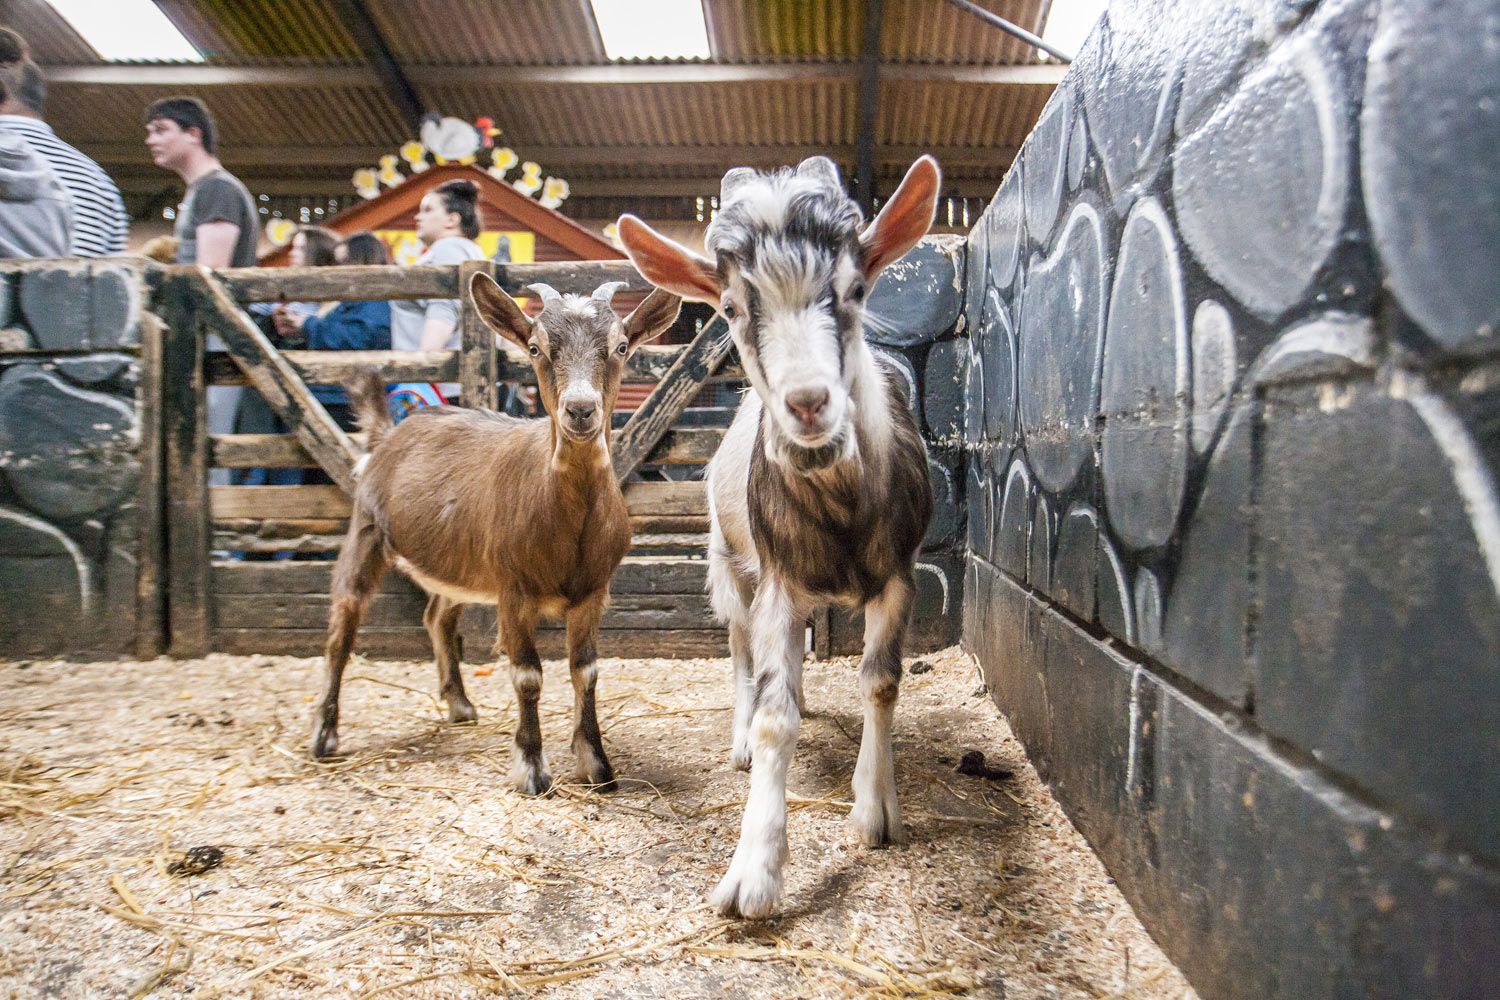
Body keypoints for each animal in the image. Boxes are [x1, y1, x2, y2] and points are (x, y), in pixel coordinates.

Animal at [313, 274, 684, 797]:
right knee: (342, 624)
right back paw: (324, 735)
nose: (580, 410)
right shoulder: (514, 588)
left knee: (437, 616)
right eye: (535, 347)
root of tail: (388, 434)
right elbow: (527, 675)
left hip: (460, 561)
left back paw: (459, 706)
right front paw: (531, 768)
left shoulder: (593, 592)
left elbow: (586, 671)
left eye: (621, 346)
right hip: (366, 530)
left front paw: (596, 765)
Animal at [618, 156, 936, 917]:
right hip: (731, 566)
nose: (808, 403)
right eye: (732, 308)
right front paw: (753, 873)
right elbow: (773, 717)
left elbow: (880, 682)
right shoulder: (779, 585)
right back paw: (737, 740)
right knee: (737, 649)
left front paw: (874, 809)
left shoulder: (899, 576)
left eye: (856, 289)